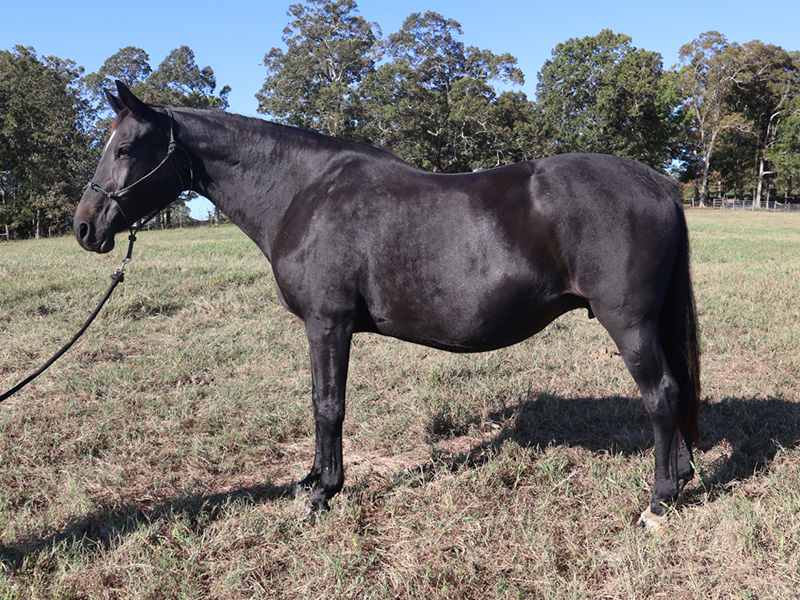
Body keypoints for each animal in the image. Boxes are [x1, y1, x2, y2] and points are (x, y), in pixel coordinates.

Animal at [76, 81, 700, 528]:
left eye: (125, 147)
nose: (85, 228)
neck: (304, 193)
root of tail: (659, 184)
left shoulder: (327, 324)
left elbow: (328, 406)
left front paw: (324, 494)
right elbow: (319, 402)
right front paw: (310, 481)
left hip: (629, 323)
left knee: (662, 395)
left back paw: (659, 501)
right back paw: (682, 478)